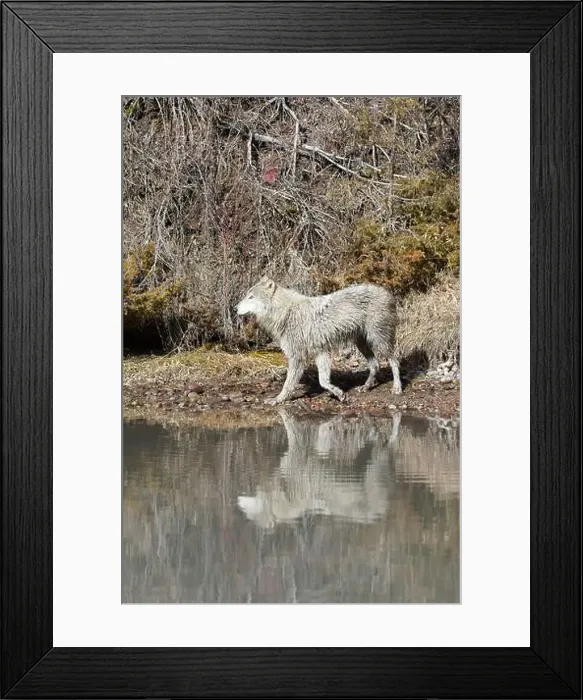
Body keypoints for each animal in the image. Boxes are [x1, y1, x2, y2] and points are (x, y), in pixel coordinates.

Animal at [236, 277, 402, 404]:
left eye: (251, 297)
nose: (234, 308)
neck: (286, 312)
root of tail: (386, 292)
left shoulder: (297, 356)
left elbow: (288, 384)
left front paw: (278, 399)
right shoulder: (321, 352)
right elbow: (323, 381)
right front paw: (339, 393)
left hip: (378, 341)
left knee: (394, 362)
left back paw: (397, 388)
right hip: (362, 343)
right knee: (375, 364)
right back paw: (365, 387)